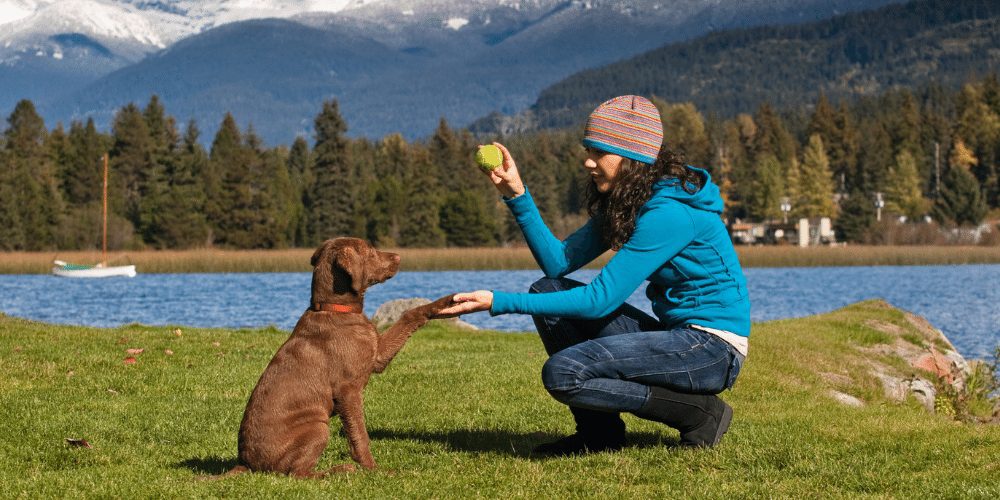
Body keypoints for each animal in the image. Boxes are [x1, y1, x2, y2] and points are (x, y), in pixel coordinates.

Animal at [226, 236, 454, 478]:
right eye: (370, 252)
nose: (399, 257)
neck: (335, 308)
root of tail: (246, 463)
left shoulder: (378, 356)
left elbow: (410, 314)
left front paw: (448, 302)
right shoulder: (348, 391)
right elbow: (360, 436)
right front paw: (374, 470)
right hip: (318, 427)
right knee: (297, 474)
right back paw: (340, 469)